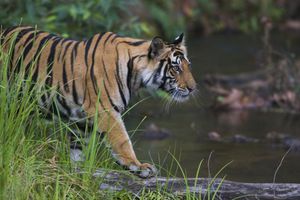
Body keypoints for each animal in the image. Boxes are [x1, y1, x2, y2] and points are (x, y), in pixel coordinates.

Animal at [0, 26, 197, 178]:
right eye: (176, 68)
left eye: (188, 65)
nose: (193, 88)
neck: (135, 75)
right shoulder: (105, 110)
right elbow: (122, 140)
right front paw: (138, 166)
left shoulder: (81, 121)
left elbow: (77, 149)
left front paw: (77, 171)